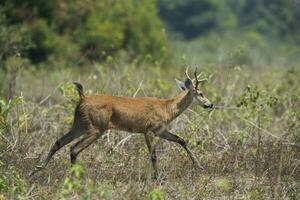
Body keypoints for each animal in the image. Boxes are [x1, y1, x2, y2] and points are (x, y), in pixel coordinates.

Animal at [29, 67, 213, 178]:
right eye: (201, 93)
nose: (210, 104)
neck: (166, 108)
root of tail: (83, 98)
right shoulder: (149, 130)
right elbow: (153, 155)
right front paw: (157, 178)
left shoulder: (161, 130)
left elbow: (182, 140)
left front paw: (200, 166)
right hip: (96, 128)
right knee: (74, 148)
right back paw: (75, 176)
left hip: (79, 124)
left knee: (58, 142)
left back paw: (38, 168)